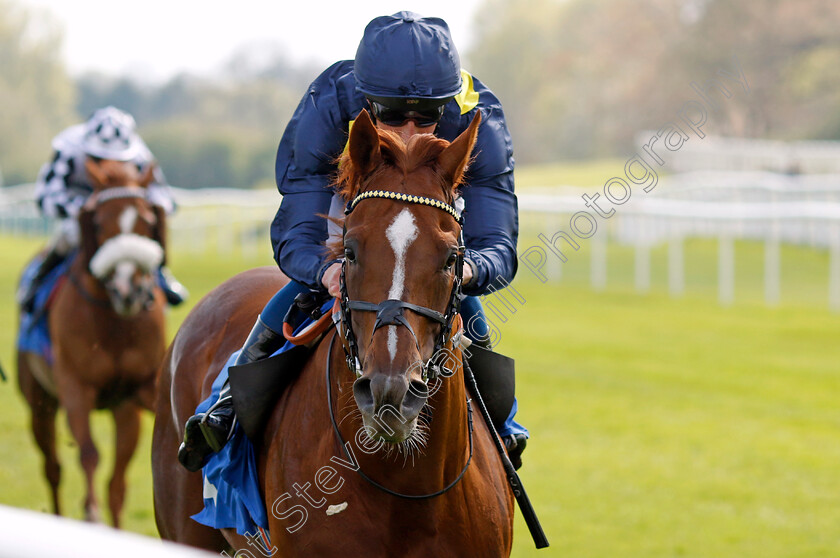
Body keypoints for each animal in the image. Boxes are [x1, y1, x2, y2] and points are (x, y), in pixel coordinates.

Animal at [17, 159, 167, 528]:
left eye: (147, 222)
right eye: (99, 221)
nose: (128, 289)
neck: (114, 323)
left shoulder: (132, 395)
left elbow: (118, 480)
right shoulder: (75, 387)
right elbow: (88, 453)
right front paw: (91, 513)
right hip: (39, 402)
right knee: (53, 468)